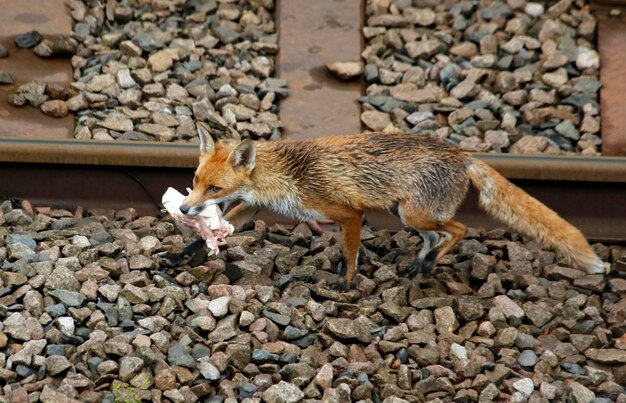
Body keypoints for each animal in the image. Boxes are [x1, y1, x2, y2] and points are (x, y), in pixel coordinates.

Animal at [178, 123, 608, 290]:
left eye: (214, 187)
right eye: (196, 181)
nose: (183, 210)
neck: (288, 175)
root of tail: (461, 154)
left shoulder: (349, 214)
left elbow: (350, 253)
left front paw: (345, 284)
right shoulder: (252, 207)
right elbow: (214, 233)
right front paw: (181, 255)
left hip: (415, 213)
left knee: (459, 230)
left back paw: (432, 264)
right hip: (404, 214)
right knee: (435, 236)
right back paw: (422, 263)